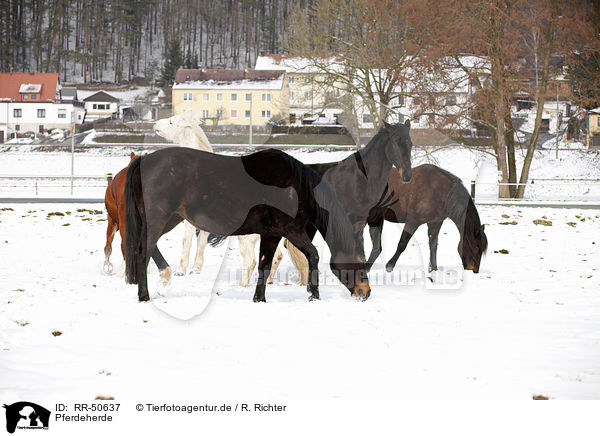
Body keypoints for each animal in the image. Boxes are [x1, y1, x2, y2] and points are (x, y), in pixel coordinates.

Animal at [124, 146, 370, 304]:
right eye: (360, 262)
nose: (365, 292)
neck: (297, 186)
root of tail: (143, 161)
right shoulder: (292, 230)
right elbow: (313, 255)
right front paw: (313, 295)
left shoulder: (271, 234)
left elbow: (265, 265)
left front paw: (259, 298)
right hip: (160, 219)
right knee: (142, 252)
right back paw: (145, 296)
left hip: (168, 219)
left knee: (147, 249)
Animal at [151, 110, 280, 284]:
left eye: (172, 122)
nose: (155, 124)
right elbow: (201, 241)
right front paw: (196, 268)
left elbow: (187, 241)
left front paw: (181, 270)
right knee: (276, 257)